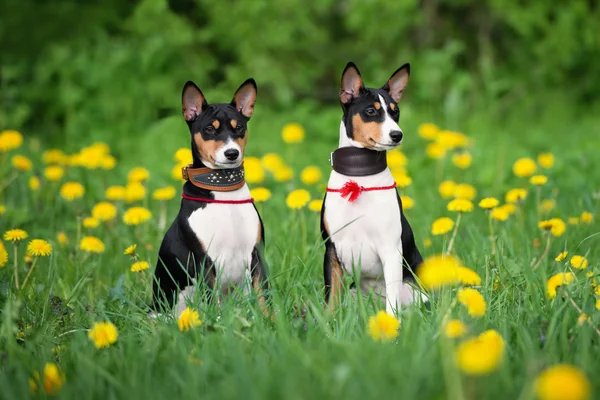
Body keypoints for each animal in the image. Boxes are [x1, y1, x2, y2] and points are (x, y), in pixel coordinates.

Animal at [151, 77, 268, 316]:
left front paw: (271, 321)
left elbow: (264, 300)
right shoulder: (205, 262)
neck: (224, 193)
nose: (231, 153)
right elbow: (212, 304)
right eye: (209, 129)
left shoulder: (256, 255)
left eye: (239, 127)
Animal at [322, 61, 424, 316]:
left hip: (416, 293)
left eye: (395, 112)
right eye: (371, 111)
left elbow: (392, 305)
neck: (360, 177)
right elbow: (331, 300)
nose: (397, 134)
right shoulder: (331, 250)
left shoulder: (391, 248)